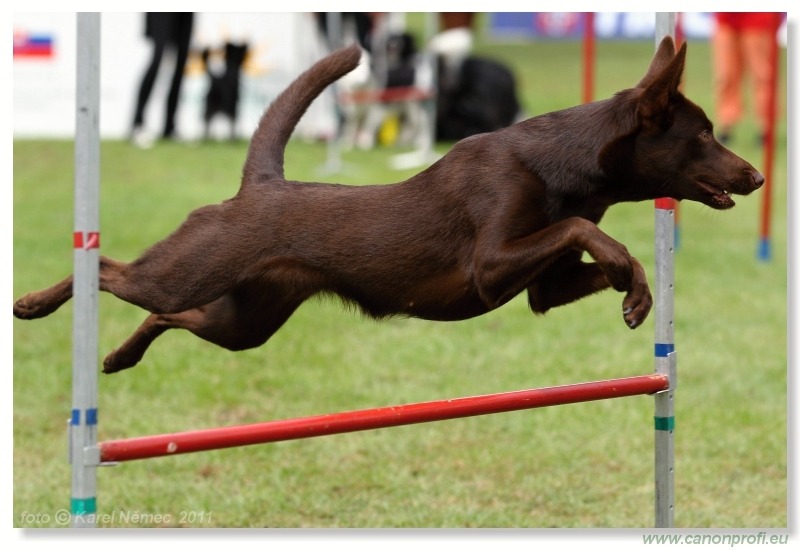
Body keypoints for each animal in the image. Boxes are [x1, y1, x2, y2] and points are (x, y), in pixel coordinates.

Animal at [12, 37, 764, 376]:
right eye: (703, 135)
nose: (757, 174)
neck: (568, 163)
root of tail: (261, 184)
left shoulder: (539, 291)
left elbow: (582, 250)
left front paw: (635, 289)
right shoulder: (491, 264)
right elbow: (579, 226)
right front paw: (630, 280)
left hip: (244, 321)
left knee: (166, 315)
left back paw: (118, 359)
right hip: (191, 268)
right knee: (110, 269)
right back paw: (33, 305)